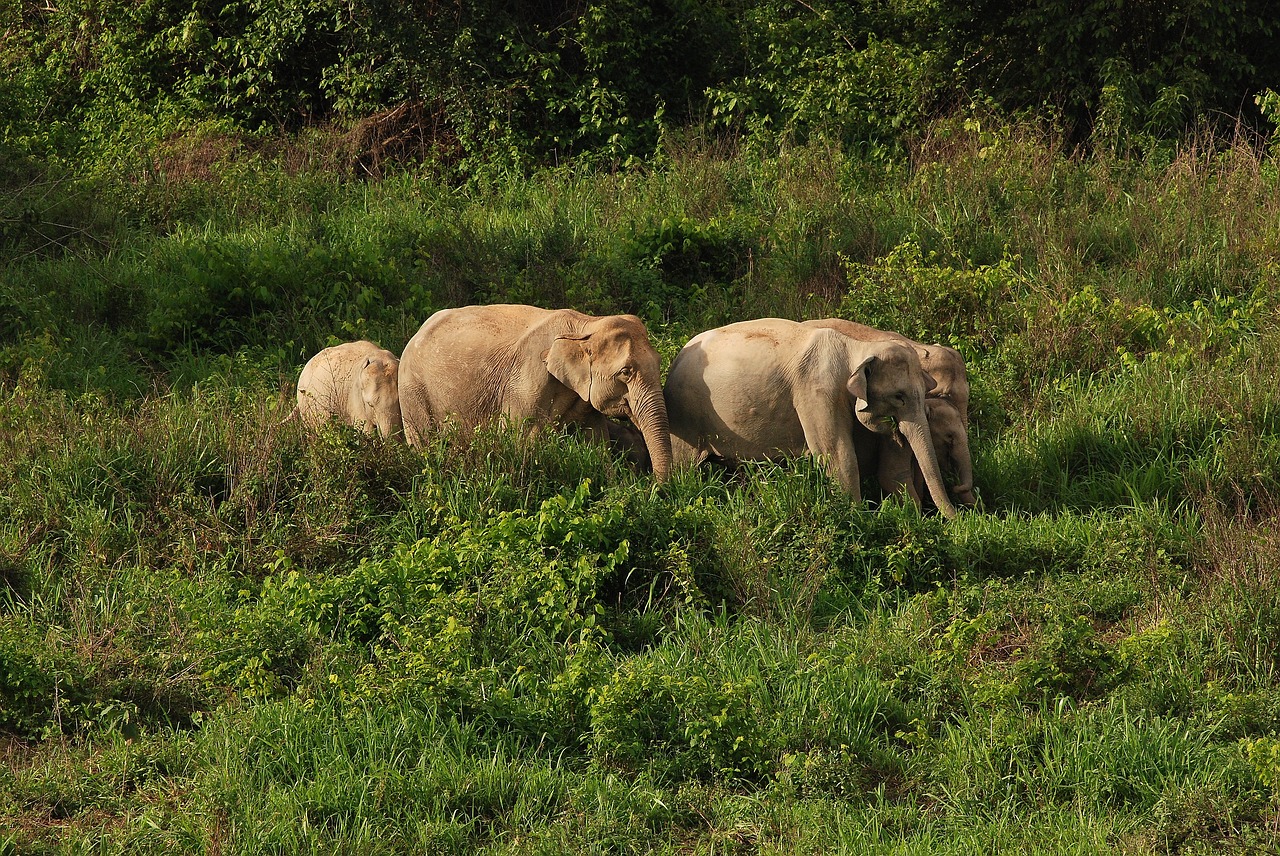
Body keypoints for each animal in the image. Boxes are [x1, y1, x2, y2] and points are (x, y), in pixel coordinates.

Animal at [399, 301, 675, 481]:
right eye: (625, 372)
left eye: (660, 362)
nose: (650, 486)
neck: (586, 324)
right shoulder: (526, 384)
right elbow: (520, 443)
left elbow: (595, 442)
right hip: (413, 393)